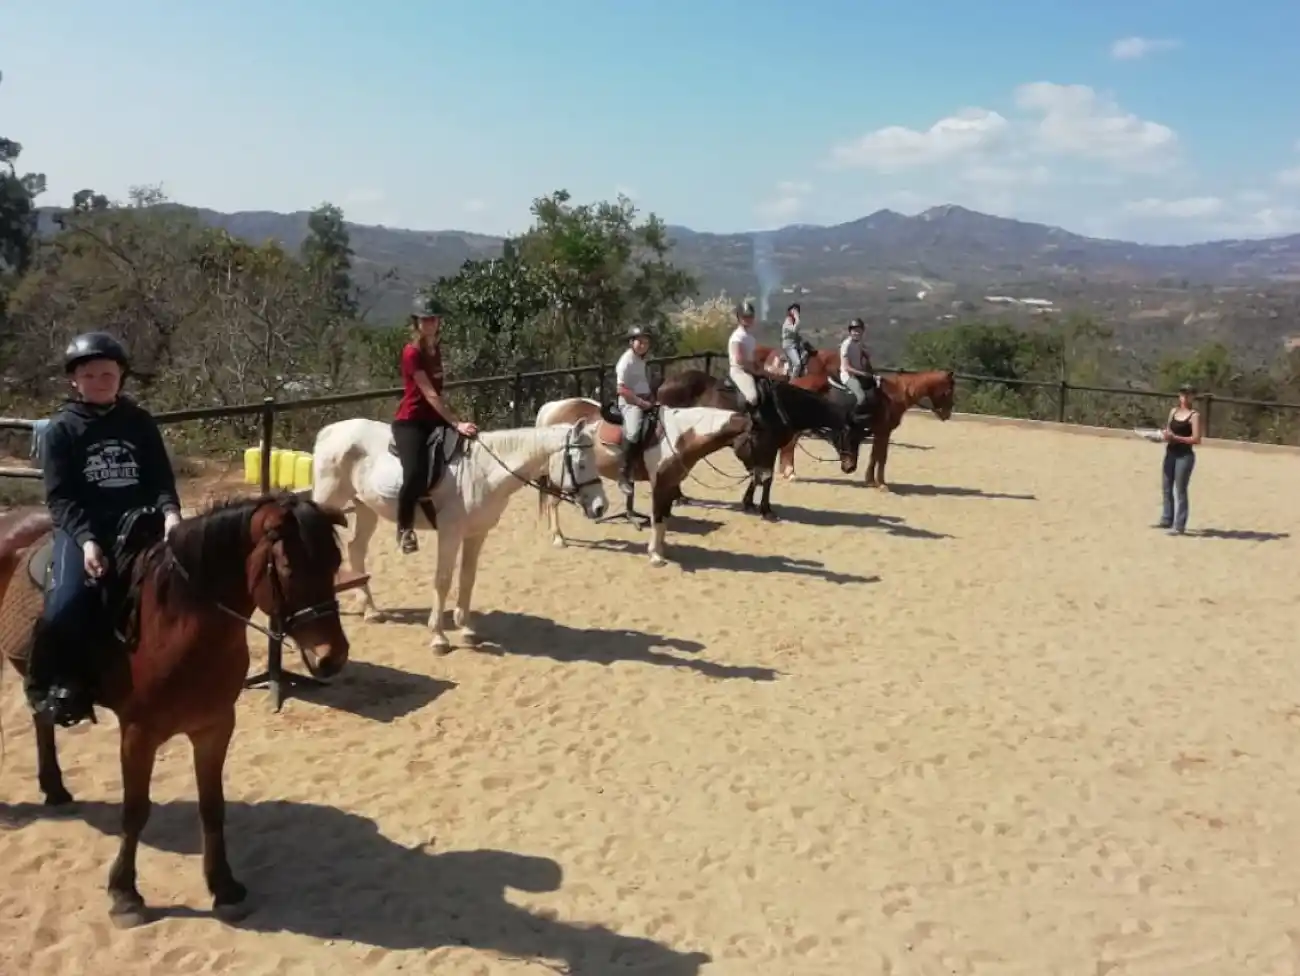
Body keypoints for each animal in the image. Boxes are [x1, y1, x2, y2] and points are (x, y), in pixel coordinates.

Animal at [0, 493, 351, 927]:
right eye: (288, 567)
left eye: (335, 561)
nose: (332, 657)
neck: (178, 625)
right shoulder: (138, 733)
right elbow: (135, 811)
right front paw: (125, 894)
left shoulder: (215, 726)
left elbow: (212, 807)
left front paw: (224, 887)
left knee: (40, 719)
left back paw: (54, 788)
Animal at [310, 419, 608, 651]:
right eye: (581, 464)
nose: (600, 507)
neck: (483, 471)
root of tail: (330, 431)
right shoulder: (450, 534)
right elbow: (442, 581)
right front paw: (438, 637)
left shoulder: (476, 534)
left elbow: (467, 578)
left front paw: (466, 629)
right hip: (329, 503)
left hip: (366, 508)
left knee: (356, 549)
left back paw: (370, 610)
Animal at [532, 400, 750, 567]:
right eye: (756, 439)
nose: (759, 474)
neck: (681, 435)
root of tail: (553, 407)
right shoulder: (660, 485)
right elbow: (658, 519)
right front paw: (655, 555)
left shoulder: (670, 485)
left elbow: (664, 519)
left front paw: (662, 550)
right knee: (553, 503)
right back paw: (559, 538)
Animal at [654, 370, 864, 520]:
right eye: (849, 435)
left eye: (861, 437)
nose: (851, 467)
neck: (780, 407)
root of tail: (665, 384)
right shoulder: (761, 447)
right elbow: (765, 477)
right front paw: (766, 510)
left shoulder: (766, 449)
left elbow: (758, 476)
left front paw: (749, 503)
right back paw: (678, 496)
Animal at [779, 369, 956, 487]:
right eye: (949, 390)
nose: (946, 414)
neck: (895, 394)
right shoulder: (884, 431)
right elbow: (882, 456)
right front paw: (881, 484)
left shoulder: (879, 431)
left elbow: (875, 455)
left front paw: (871, 480)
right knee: (790, 446)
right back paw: (790, 473)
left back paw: (787, 473)